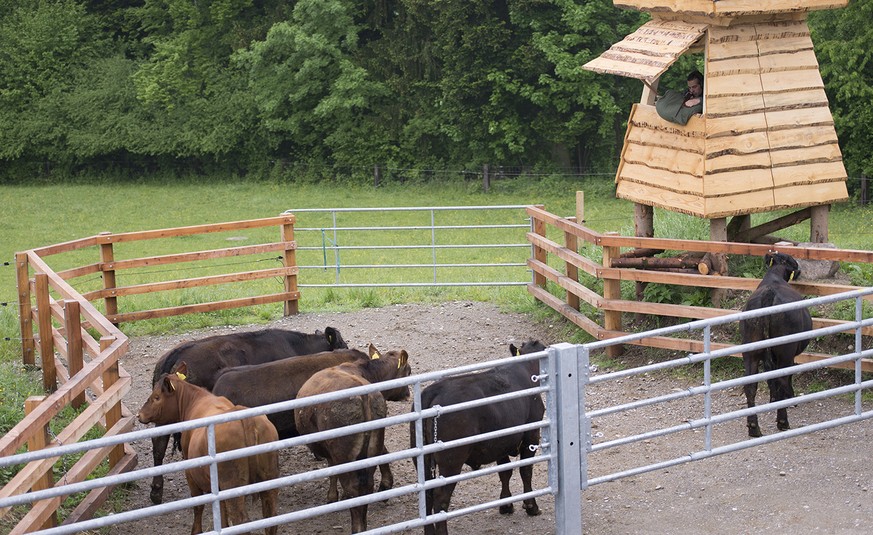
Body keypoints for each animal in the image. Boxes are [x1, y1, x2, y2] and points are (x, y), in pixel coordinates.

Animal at [138, 372, 278, 535]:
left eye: (156, 397)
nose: (139, 414)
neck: (195, 400)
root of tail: (247, 420)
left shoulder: (191, 474)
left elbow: (198, 505)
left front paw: (196, 531)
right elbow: (222, 511)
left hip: (234, 484)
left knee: (241, 520)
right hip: (268, 478)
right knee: (270, 519)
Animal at [294, 346, 414, 532]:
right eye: (408, 372)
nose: (407, 395)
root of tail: (363, 395)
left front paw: (332, 497)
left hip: (344, 453)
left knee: (353, 487)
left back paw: (357, 527)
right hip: (370, 447)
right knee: (366, 485)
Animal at [414, 342, 544, 532]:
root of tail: (435, 389)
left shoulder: (501, 442)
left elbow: (505, 471)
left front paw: (506, 505)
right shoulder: (531, 435)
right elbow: (525, 471)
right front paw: (531, 506)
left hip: (423, 462)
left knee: (428, 494)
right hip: (451, 460)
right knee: (441, 497)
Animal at [740, 253, 816, 438]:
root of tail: (769, 293)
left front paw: (772, 399)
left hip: (750, 350)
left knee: (750, 384)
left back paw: (754, 427)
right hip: (785, 351)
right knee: (782, 378)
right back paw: (783, 421)